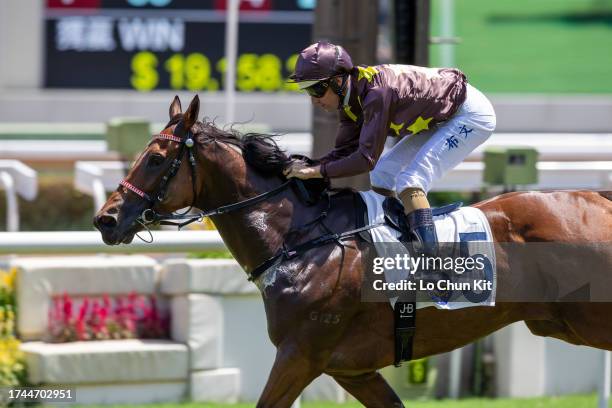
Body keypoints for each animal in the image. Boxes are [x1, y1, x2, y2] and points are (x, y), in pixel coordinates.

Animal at [93, 96, 608, 408]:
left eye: (156, 159)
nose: (106, 219)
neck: (299, 241)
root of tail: (596, 199)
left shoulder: (301, 354)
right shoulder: (352, 369)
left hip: (590, 319)